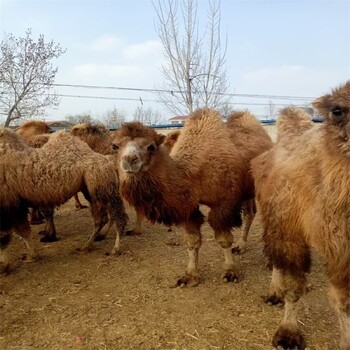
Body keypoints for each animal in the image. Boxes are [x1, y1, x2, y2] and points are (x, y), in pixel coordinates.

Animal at [0, 127, 129, 272]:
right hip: (90, 187)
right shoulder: (15, 204)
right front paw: (30, 256)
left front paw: (6, 265)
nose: (114, 145)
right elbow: (23, 230)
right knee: (101, 219)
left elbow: (6, 235)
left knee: (118, 216)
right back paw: (86, 246)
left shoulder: (7, 203)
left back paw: (115, 248)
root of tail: (109, 161)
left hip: (102, 183)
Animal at [113, 108, 272, 286]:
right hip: (247, 191)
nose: (129, 160)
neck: (192, 174)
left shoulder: (223, 203)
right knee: (249, 213)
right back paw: (241, 246)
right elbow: (192, 240)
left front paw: (230, 271)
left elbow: (224, 239)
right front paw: (190, 275)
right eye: (115, 146)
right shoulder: (187, 207)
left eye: (151, 147)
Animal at [252, 81, 350, 348]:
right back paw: (274, 291)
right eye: (337, 111)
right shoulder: (289, 231)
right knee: (275, 255)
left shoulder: (344, 248)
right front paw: (288, 333)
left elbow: (345, 299)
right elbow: (293, 286)